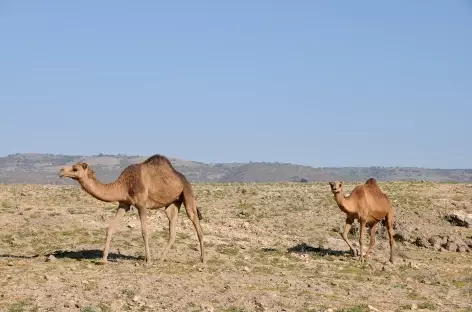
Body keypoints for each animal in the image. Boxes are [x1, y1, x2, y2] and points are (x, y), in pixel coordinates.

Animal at [58, 155, 205, 264]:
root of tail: (182, 177)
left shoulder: (142, 204)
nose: (61, 171)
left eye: (75, 168)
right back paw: (161, 259)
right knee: (172, 225)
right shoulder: (124, 204)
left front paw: (148, 260)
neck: (124, 184)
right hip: (173, 203)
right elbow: (110, 227)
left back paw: (202, 260)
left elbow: (144, 232)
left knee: (194, 220)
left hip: (188, 192)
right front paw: (103, 260)